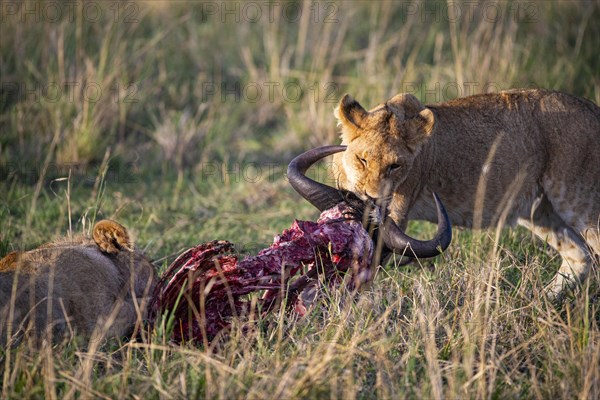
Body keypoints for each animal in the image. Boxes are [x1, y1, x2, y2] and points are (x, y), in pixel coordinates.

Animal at [332, 89, 600, 298]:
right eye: (362, 160)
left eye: (395, 166)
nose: (373, 198)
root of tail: (593, 107)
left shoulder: (395, 216)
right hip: (539, 211)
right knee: (580, 256)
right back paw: (539, 303)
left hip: (580, 202)